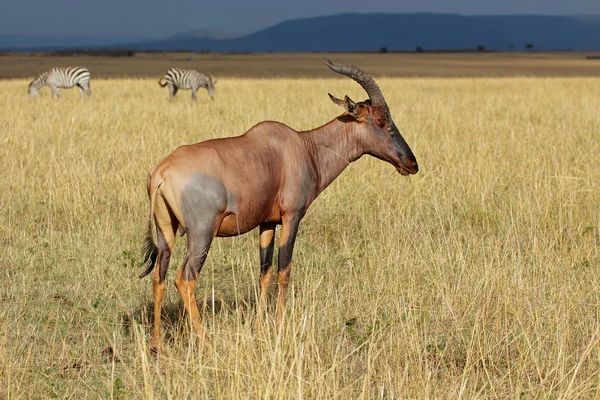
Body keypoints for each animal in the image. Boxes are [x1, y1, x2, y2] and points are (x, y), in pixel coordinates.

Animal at [142, 60, 418, 350]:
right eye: (381, 120)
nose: (411, 164)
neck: (303, 147)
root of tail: (161, 172)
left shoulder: (267, 223)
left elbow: (265, 272)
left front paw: (260, 327)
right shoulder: (291, 217)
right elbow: (284, 270)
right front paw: (279, 327)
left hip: (166, 232)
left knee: (159, 278)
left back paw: (157, 343)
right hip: (201, 234)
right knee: (184, 279)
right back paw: (206, 340)